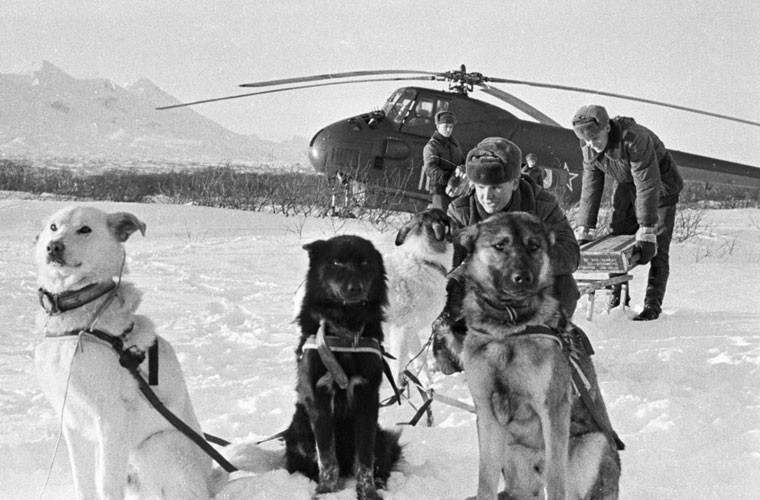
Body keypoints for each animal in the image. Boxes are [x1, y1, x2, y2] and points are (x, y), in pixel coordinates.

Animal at [33, 206, 223, 500]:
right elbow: (83, 483)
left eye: (85, 229)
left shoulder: (111, 421)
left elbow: (106, 486)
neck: (78, 324)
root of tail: (209, 482)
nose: (53, 247)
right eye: (53, 227)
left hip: (156, 446)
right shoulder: (73, 425)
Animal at [284, 235, 404, 500]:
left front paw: (368, 493)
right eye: (337, 262)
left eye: (364, 262)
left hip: (382, 437)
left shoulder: (367, 398)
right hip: (299, 430)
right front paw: (326, 492)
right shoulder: (319, 399)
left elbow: (365, 459)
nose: (355, 288)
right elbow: (327, 457)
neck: (346, 332)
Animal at [386, 207, 452, 386]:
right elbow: (398, 368)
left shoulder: (411, 332)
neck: (423, 260)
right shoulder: (400, 333)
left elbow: (419, 360)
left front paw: (428, 385)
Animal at [436, 213, 620, 500]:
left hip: (594, 444)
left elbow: (556, 480)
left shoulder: (553, 409)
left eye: (534, 246)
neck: (509, 328)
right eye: (500, 245)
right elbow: (485, 480)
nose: (523, 278)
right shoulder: (487, 414)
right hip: (513, 453)